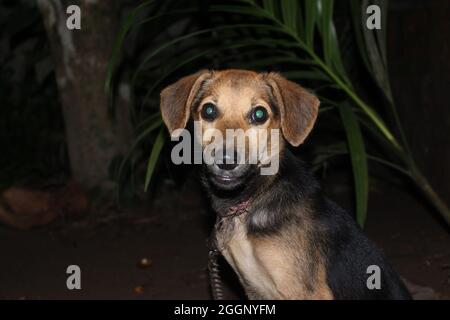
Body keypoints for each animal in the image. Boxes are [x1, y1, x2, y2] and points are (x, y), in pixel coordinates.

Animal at [159, 70, 412, 300]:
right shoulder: (254, 289)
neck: (254, 200)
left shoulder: (309, 293)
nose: (226, 161)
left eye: (259, 114)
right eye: (209, 111)